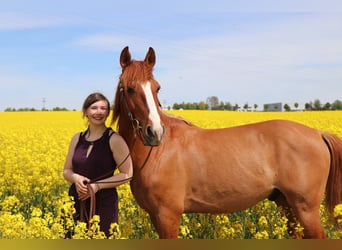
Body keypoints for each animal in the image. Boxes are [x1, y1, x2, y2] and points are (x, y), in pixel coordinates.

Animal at [113, 46, 342, 238]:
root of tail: (318, 134)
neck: (158, 154)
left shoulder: (167, 215)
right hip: (286, 204)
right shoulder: (156, 216)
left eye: (157, 88)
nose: (155, 133)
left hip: (306, 208)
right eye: (129, 88)